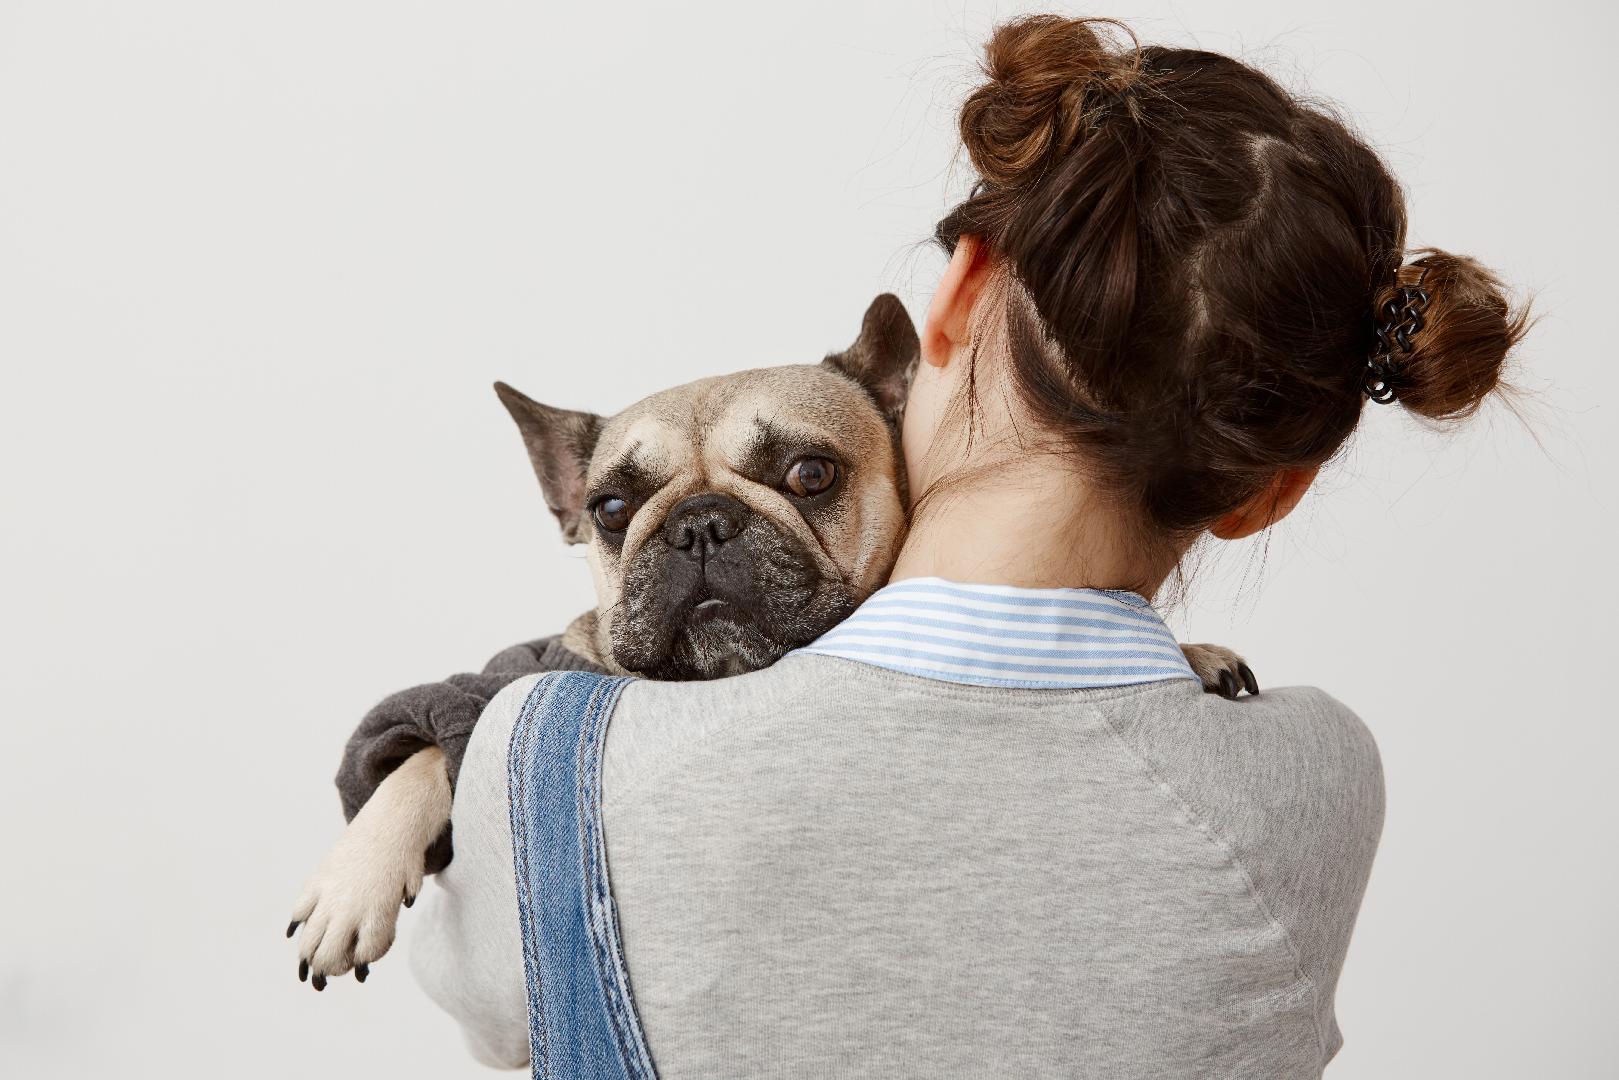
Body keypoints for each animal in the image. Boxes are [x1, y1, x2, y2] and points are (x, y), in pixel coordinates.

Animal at [288, 293, 1249, 990]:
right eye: (610, 507)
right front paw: (352, 884)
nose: (699, 523)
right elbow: (421, 753)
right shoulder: (508, 678)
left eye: (809, 473)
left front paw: (1195, 655)